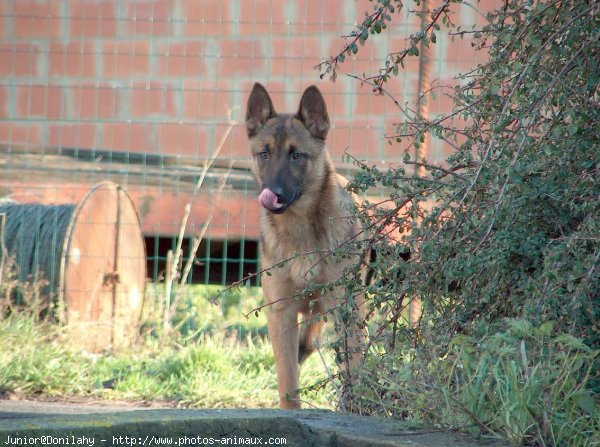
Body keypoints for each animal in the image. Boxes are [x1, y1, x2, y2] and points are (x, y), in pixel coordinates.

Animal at [245, 84, 366, 410]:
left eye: (297, 155)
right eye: (264, 154)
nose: (271, 194)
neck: (300, 232)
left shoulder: (346, 312)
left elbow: (352, 371)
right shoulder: (281, 315)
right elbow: (288, 385)